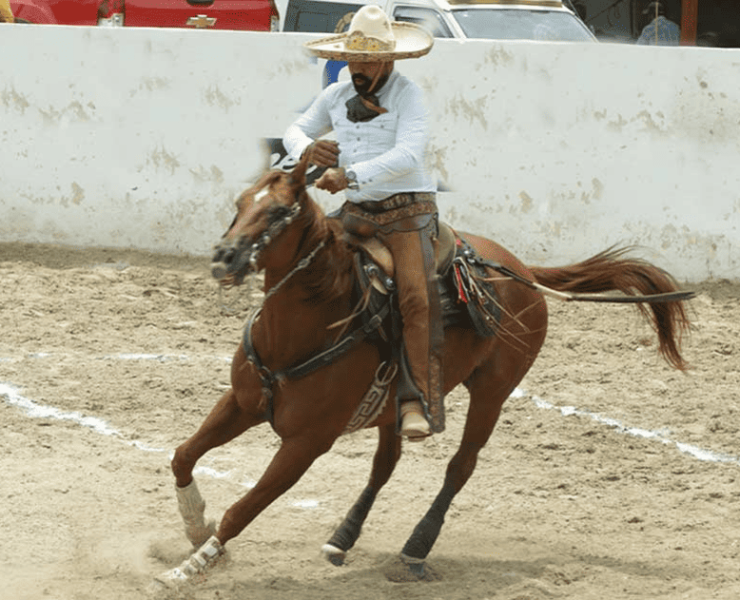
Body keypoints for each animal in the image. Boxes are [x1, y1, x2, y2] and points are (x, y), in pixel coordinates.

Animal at [152, 154, 692, 590]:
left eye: (281, 212)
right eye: (241, 201)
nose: (225, 258)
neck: (304, 328)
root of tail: (521, 272)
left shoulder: (306, 443)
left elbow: (245, 507)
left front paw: (189, 568)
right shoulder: (242, 402)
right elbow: (182, 455)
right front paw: (195, 528)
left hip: (493, 391)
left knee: (460, 466)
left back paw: (415, 548)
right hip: (396, 406)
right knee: (385, 465)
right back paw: (342, 538)